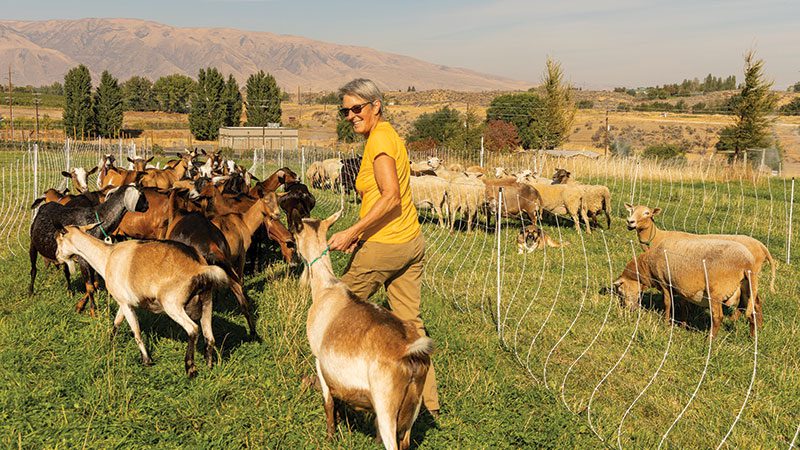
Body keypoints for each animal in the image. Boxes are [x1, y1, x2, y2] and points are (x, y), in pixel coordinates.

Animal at [28, 185, 149, 314]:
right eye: (141, 194)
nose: (147, 205)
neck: (97, 220)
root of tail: (45, 205)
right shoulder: (83, 259)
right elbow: (90, 287)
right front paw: (93, 312)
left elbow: (94, 283)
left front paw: (80, 306)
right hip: (33, 245)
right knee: (33, 269)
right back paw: (30, 292)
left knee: (66, 272)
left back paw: (70, 292)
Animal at [56, 224, 227, 376]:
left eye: (58, 240)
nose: (57, 258)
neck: (108, 257)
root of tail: (199, 267)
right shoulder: (124, 301)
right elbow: (116, 322)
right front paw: (109, 343)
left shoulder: (126, 303)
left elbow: (136, 331)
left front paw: (146, 360)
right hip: (207, 302)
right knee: (209, 336)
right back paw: (209, 366)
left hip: (173, 304)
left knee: (193, 329)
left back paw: (190, 369)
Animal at [292, 212, 432, 450]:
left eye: (296, 232)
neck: (326, 288)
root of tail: (410, 352)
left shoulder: (319, 360)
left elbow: (328, 402)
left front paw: (330, 436)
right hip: (412, 409)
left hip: (386, 407)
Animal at [612, 239, 764, 338]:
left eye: (620, 290)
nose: (627, 309)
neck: (646, 268)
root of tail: (747, 263)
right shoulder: (681, 288)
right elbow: (684, 306)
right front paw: (683, 325)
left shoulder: (665, 283)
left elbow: (668, 304)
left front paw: (666, 323)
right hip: (747, 288)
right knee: (755, 308)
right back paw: (754, 335)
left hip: (715, 291)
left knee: (718, 317)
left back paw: (710, 340)